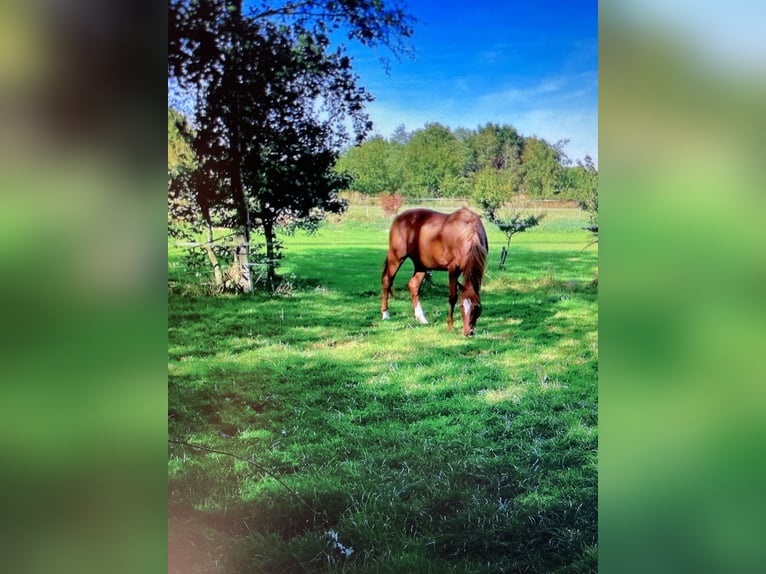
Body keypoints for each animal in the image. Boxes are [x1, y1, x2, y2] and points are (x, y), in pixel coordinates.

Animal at [380, 208, 488, 338]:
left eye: (477, 307)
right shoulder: (453, 269)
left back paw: (421, 318)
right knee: (387, 281)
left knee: (413, 285)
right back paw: (385, 314)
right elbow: (452, 297)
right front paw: (450, 325)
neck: (468, 233)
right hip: (396, 258)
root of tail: (398, 218)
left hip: (421, 265)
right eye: (461, 306)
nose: (467, 332)